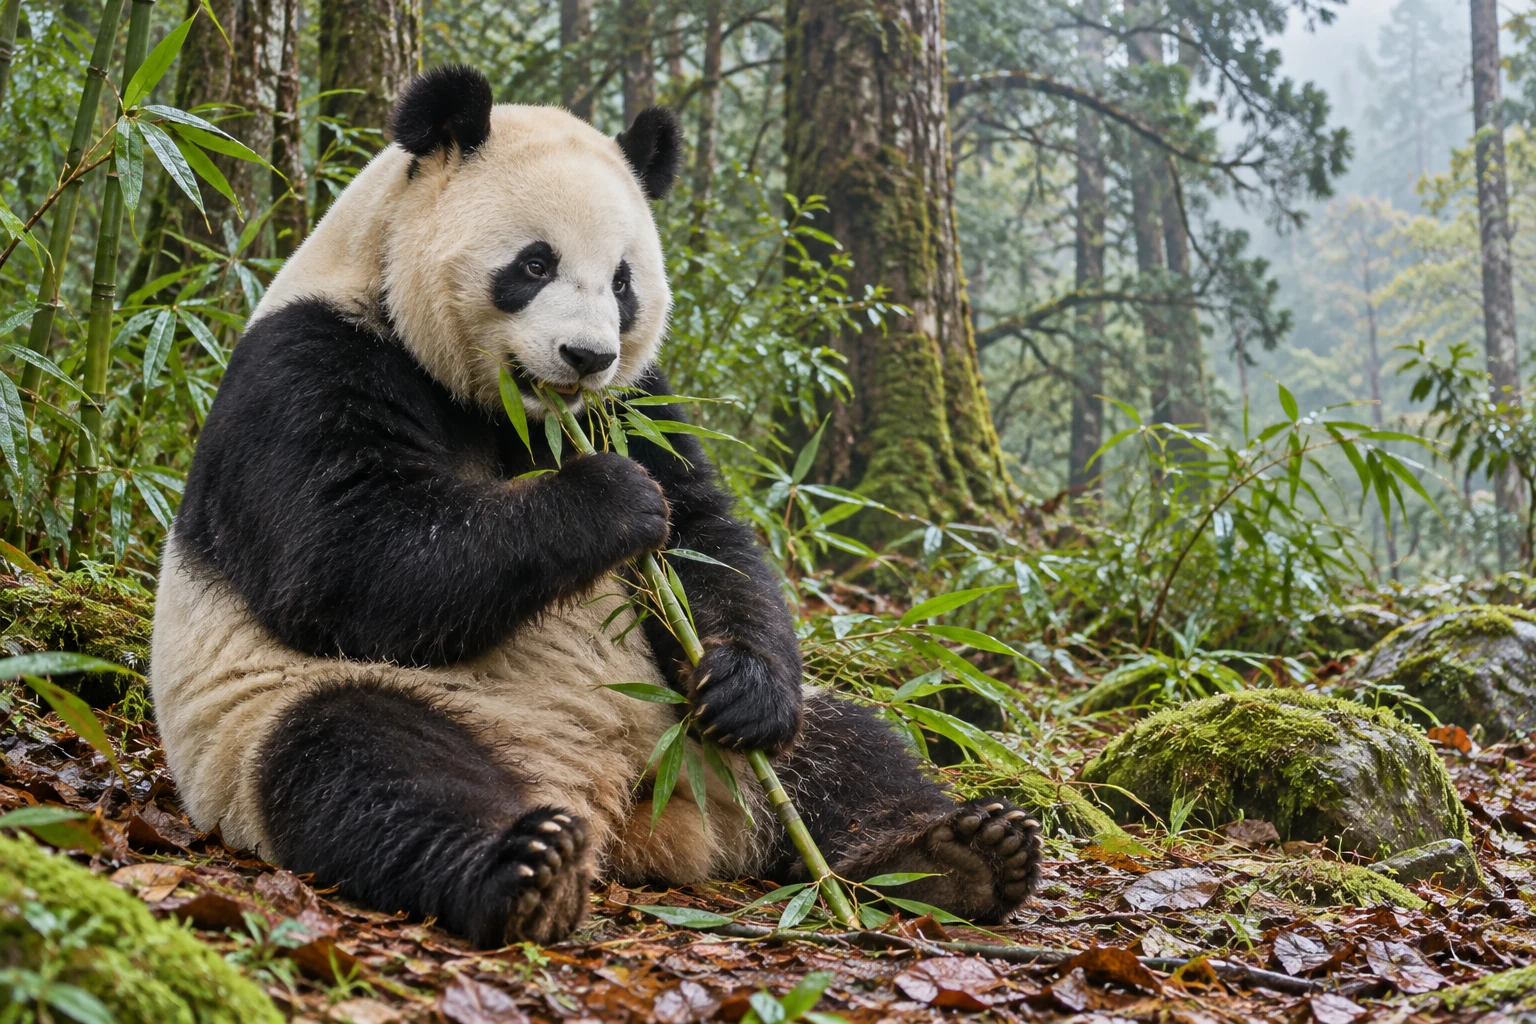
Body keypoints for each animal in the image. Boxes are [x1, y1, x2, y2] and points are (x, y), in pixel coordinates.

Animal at [149, 65, 1041, 946]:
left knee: (847, 748)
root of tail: (626, 803)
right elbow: (345, 553)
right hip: (300, 715)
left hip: (705, 737)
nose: (585, 356)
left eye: (622, 282)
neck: (521, 415)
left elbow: (708, 537)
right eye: (535, 264)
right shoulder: (310, 360)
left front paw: (741, 681)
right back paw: (524, 869)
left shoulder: (639, 400)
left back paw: (956, 853)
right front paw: (611, 498)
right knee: (362, 763)